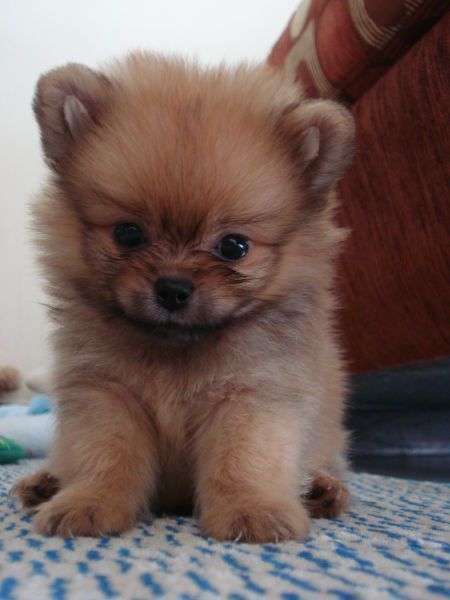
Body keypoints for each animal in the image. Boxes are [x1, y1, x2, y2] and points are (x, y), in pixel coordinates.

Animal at [12, 52, 354, 544]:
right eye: (127, 233)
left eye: (234, 246)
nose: (173, 288)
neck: (175, 351)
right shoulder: (108, 394)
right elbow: (105, 456)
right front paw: (90, 503)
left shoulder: (249, 395)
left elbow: (243, 460)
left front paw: (251, 509)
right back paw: (44, 482)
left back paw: (324, 490)